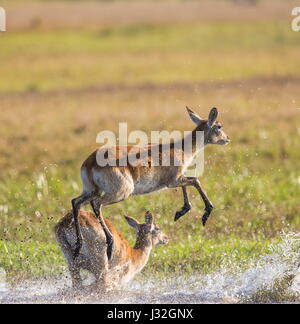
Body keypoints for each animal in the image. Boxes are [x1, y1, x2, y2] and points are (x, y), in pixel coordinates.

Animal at [71, 107, 231, 260]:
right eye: (219, 126)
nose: (227, 138)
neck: (179, 148)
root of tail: (90, 162)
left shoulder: (178, 179)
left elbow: (188, 184)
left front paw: (181, 212)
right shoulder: (173, 181)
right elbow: (195, 181)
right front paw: (205, 212)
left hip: (92, 191)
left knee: (76, 202)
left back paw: (79, 245)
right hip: (119, 193)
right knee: (97, 204)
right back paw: (109, 243)